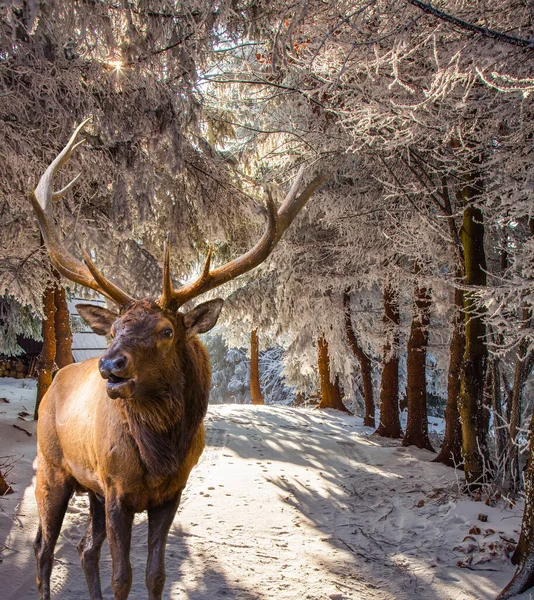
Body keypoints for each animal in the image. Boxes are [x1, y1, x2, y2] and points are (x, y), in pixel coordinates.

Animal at [32, 120, 326, 600]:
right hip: (53, 468)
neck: (160, 457)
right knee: (44, 549)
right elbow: (123, 577)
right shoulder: (116, 489)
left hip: (89, 488)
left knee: (83, 549)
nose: (110, 366)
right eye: (113, 330)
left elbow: (155, 574)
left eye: (167, 331)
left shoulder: (170, 492)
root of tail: (53, 380)